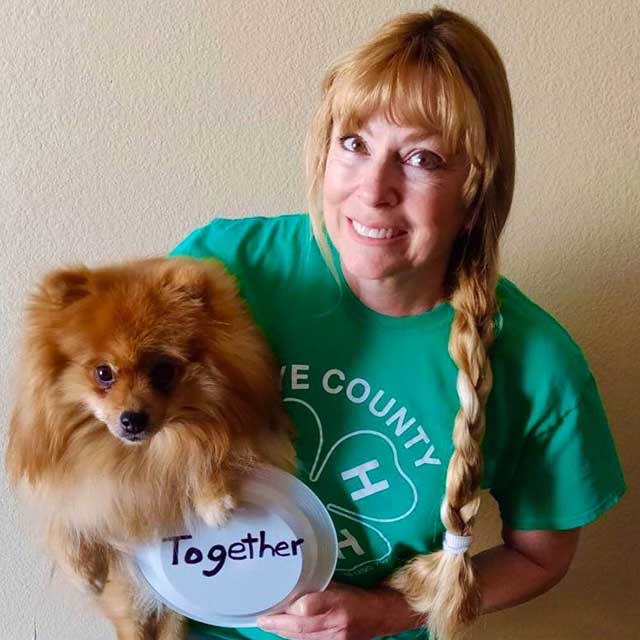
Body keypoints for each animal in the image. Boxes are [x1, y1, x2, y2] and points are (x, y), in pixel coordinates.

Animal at [5, 256, 296, 640]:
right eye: (103, 373)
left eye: (163, 371)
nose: (132, 419)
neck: (141, 458)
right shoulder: (71, 481)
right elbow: (64, 515)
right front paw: (82, 569)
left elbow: (213, 451)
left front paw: (213, 499)